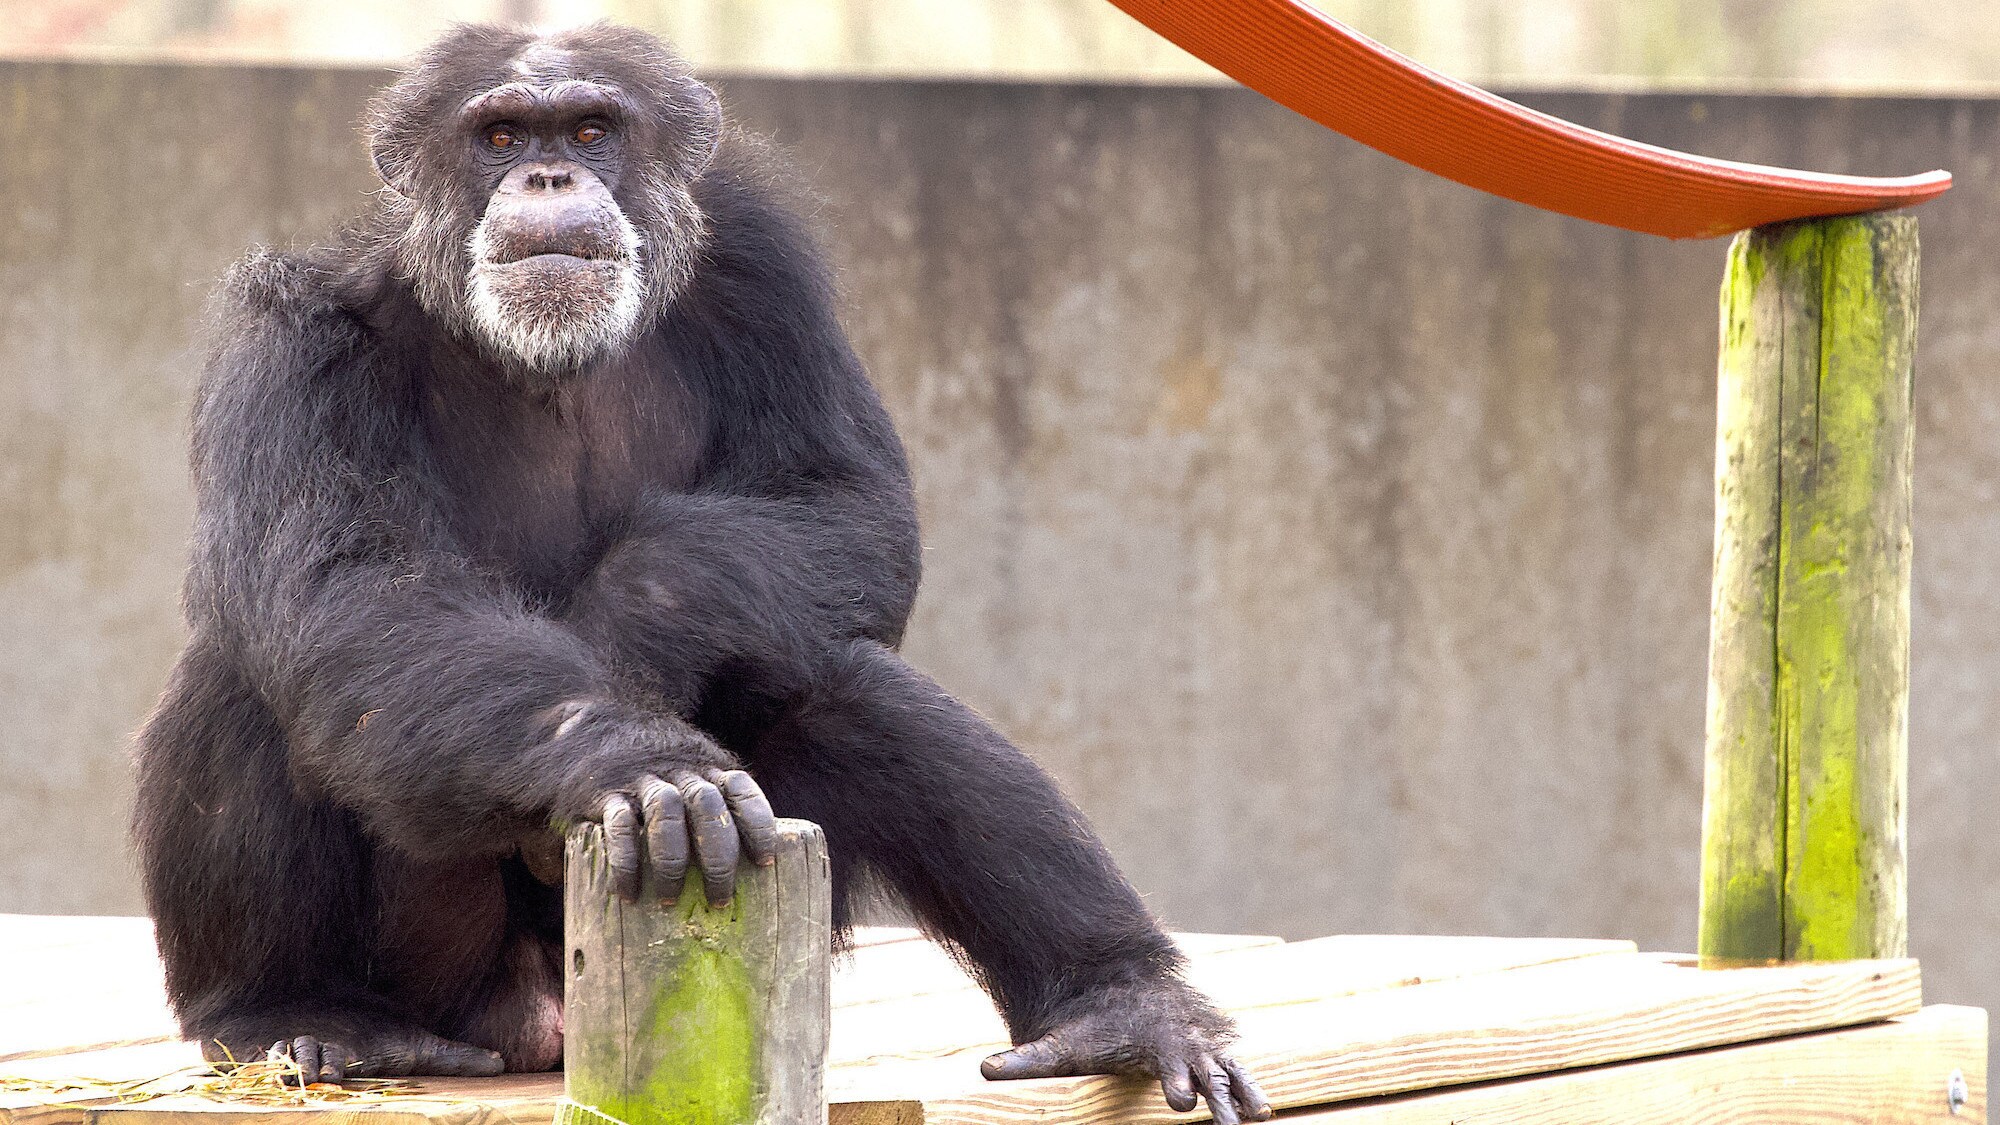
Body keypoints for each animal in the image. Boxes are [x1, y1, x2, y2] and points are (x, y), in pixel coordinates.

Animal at [133, 19, 1272, 1120]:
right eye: (499, 136)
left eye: (590, 129)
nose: (547, 176)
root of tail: (548, 1027)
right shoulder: (295, 348)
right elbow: (351, 585)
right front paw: (632, 760)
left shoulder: (768, 279)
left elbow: (843, 502)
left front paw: (625, 631)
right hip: (446, 980)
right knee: (244, 676)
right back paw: (295, 1009)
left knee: (832, 673)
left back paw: (1123, 1005)